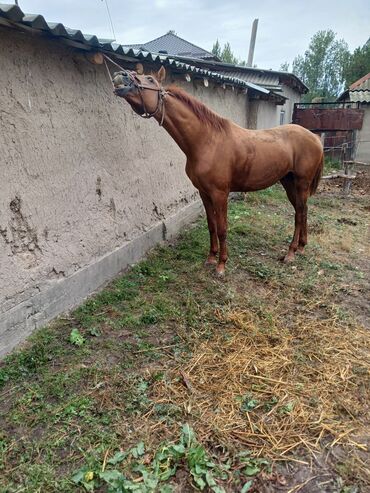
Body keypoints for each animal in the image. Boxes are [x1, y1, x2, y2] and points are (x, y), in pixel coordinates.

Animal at [112, 65, 324, 274]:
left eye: (149, 79)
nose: (120, 76)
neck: (207, 141)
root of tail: (314, 138)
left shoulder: (220, 194)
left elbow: (222, 228)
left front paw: (221, 265)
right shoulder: (204, 193)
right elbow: (211, 226)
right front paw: (211, 258)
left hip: (301, 183)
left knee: (299, 213)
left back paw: (291, 253)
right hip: (288, 182)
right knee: (302, 210)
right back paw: (301, 247)